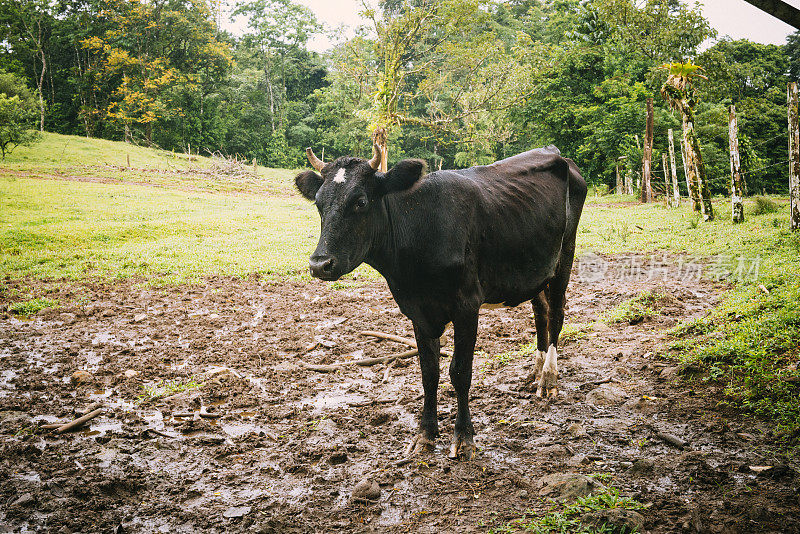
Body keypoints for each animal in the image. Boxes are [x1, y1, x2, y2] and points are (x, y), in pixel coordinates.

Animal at [294, 146, 588, 460]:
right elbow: (429, 372)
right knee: (540, 311)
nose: (319, 264)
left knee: (556, 313)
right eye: (318, 204)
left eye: (360, 201)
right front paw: (425, 434)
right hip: (535, 268)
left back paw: (549, 378)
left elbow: (460, 372)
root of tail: (556, 153)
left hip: (565, 255)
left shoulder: (467, 305)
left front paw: (464, 437)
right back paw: (536, 370)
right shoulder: (417, 310)